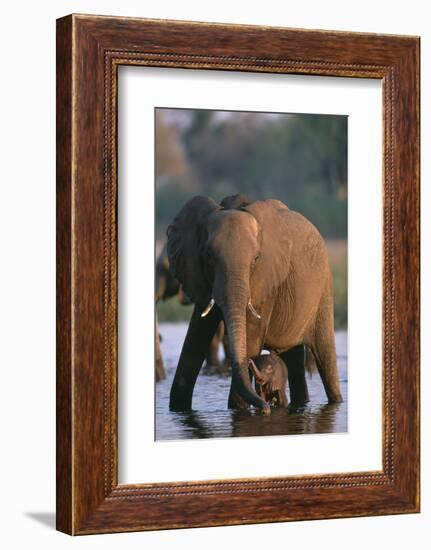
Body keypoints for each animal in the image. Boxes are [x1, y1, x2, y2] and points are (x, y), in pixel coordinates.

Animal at [167, 194, 342, 414]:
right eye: (208, 256)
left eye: (256, 259)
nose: (266, 408)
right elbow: (195, 339)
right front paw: (178, 409)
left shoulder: (266, 281)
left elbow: (250, 337)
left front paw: (240, 410)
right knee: (293, 360)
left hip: (324, 290)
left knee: (325, 356)